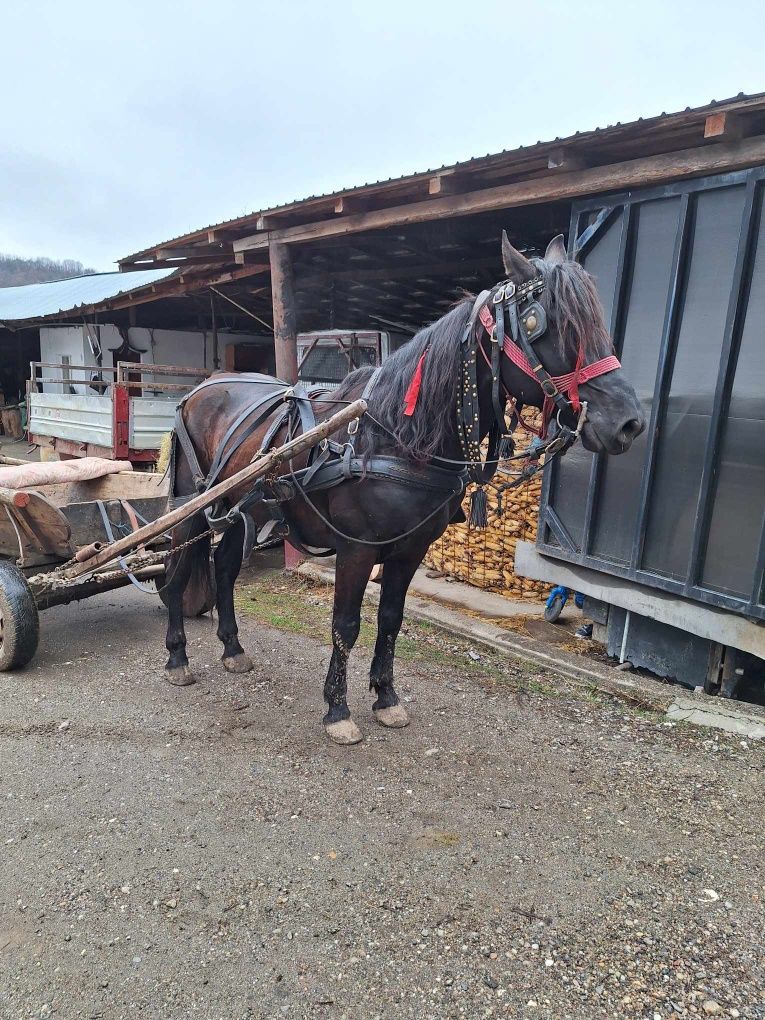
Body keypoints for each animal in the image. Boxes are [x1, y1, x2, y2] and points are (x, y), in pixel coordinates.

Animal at [163, 234, 648, 746]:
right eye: (544, 324)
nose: (629, 423)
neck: (393, 436)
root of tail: (203, 387)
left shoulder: (409, 549)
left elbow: (391, 619)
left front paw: (386, 697)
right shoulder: (356, 550)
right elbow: (346, 624)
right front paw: (338, 709)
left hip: (243, 511)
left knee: (224, 569)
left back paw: (233, 648)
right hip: (190, 508)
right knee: (176, 574)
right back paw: (177, 656)